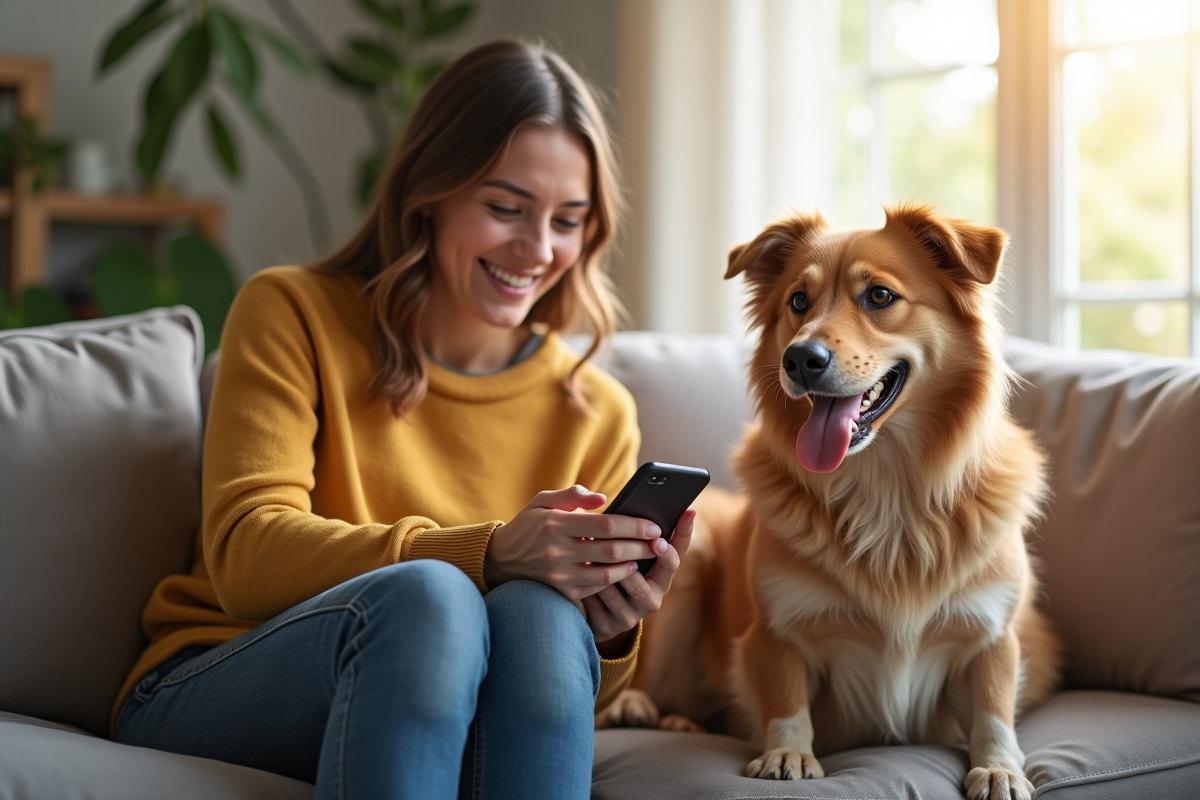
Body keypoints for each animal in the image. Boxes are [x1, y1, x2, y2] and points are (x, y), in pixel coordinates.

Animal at [604, 205, 1065, 800]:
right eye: (798, 301)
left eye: (880, 296)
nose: (799, 358)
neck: (885, 490)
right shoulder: (774, 629)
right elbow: (785, 696)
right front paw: (788, 753)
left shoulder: (991, 635)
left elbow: (993, 707)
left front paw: (1000, 767)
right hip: (692, 557)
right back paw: (641, 706)